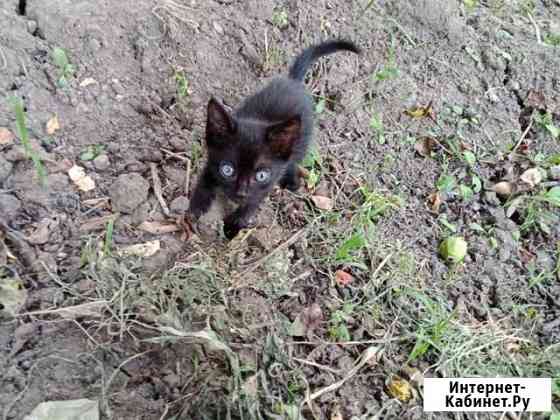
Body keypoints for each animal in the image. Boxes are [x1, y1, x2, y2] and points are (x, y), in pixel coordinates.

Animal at [190, 39, 360, 240]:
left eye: (261, 175)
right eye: (227, 170)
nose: (241, 193)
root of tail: (293, 82)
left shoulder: (267, 184)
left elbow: (254, 202)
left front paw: (234, 225)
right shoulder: (211, 160)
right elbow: (205, 181)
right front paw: (196, 208)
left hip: (301, 140)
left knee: (294, 159)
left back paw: (292, 180)